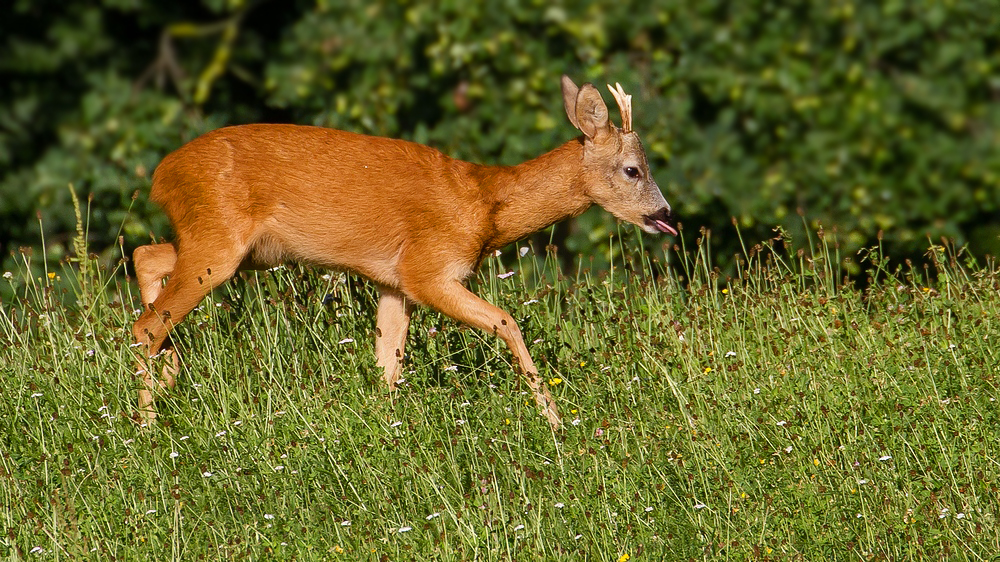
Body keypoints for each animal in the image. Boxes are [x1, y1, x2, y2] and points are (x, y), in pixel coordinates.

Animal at [133, 75, 676, 428]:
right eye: (633, 170)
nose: (665, 213)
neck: (486, 206)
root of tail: (161, 174)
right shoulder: (428, 268)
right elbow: (508, 322)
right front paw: (556, 422)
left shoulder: (395, 284)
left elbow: (387, 366)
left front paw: (387, 431)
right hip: (219, 241)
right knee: (146, 324)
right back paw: (147, 427)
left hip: (230, 247)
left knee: (146, 256)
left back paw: (168, 374)